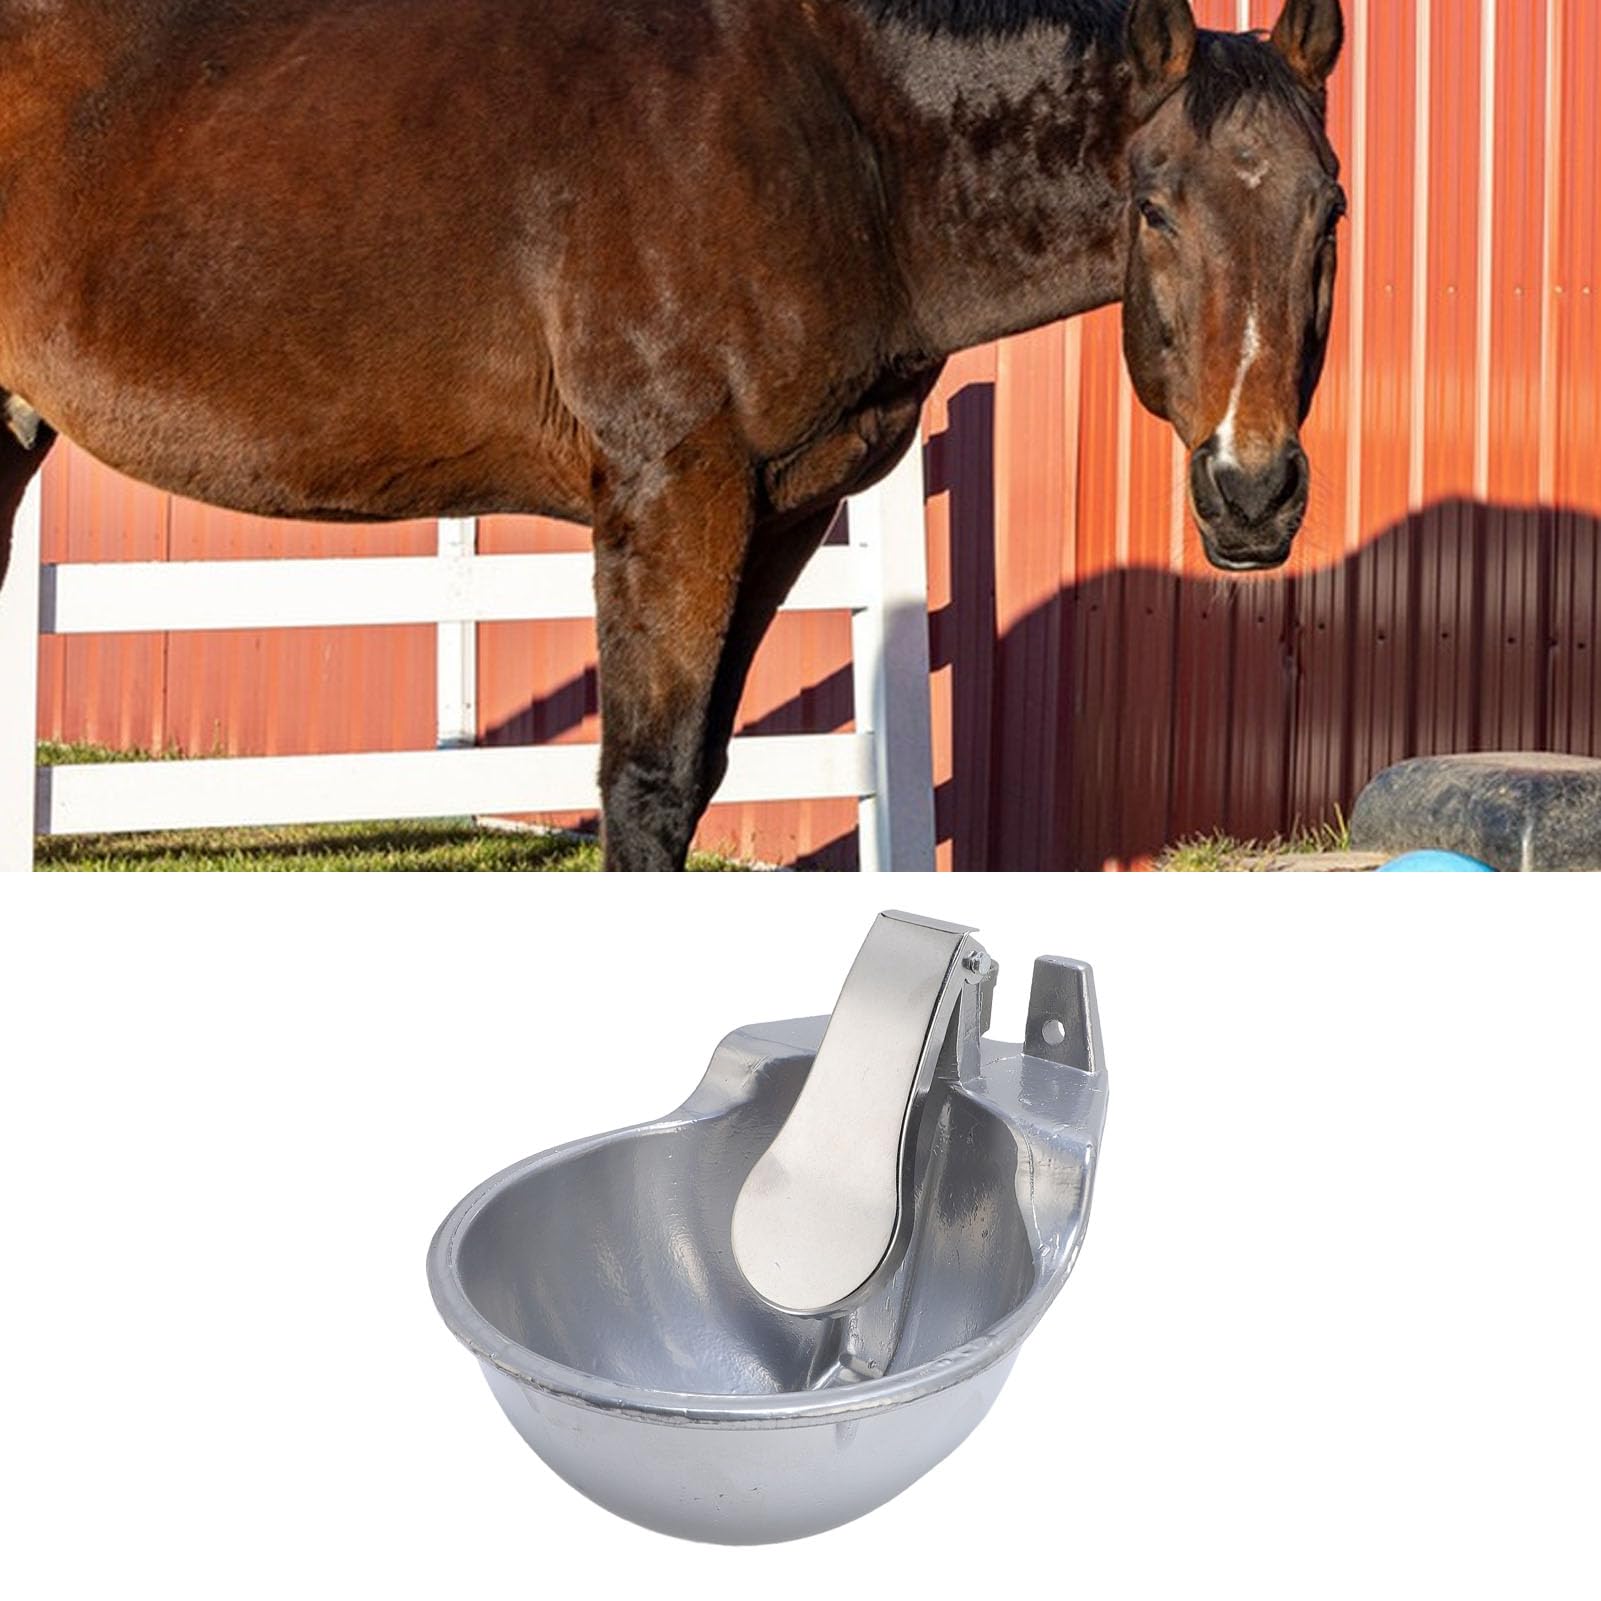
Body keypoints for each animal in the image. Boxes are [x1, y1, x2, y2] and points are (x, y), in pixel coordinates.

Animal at [0, 0, 1345, 869]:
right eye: (1153, 208)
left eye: (1327, 209)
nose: (1250, 490)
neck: (830, 139)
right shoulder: (671, 495)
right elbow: (642, 786)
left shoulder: (785, 511)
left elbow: (694, 773)